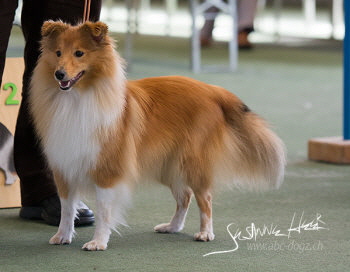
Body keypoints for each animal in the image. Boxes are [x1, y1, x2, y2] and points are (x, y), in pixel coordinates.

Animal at [28, 20, 286, 251]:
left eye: (79, 53)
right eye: (58, 53)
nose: (59, 74)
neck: (77, 98)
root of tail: (213, 91)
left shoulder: (107, 170)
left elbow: (104, 210)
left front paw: (98, 242)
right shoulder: (64, 166)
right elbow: (66, 208)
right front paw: (62, 236)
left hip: (192, 162)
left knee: (205, 199)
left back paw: (205, 233)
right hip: (169, 165)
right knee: (185, 197)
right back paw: (171, 227)